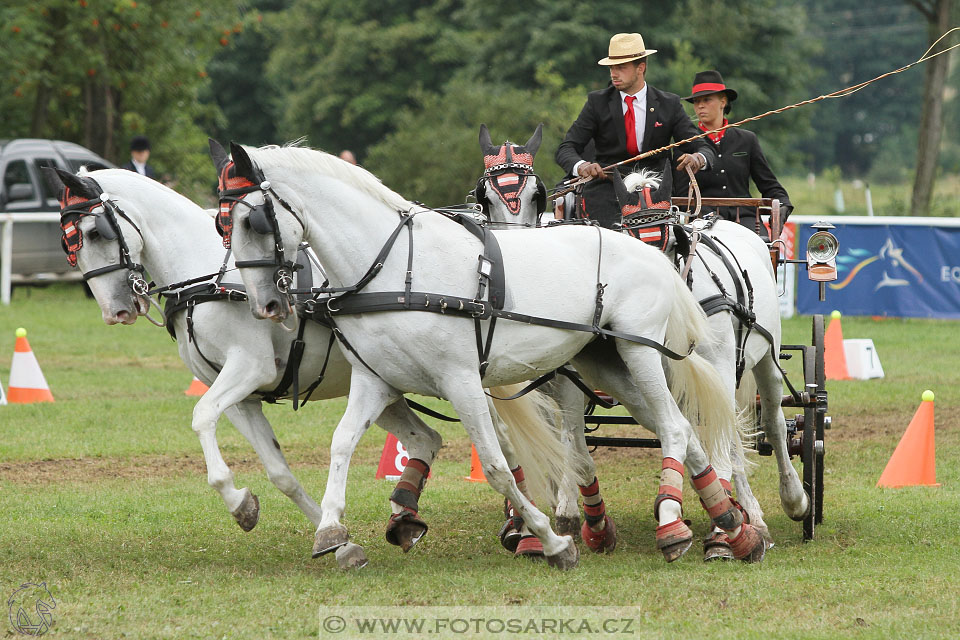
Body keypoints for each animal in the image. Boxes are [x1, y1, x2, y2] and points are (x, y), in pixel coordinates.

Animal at [45, 168, 568, 568]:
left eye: (93, 234)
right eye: (70, 244)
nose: (115, 310)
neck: (212, 279)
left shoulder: (248, 368)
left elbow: (201, 416)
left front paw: (239, 501)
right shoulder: (242, 396)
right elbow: (279, 472)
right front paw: (330, 537)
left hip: (460, 378)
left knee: (523, 436)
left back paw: (540, 524)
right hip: (393, 383)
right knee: (430, 438)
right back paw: (408, 519)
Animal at [216, 140, 764, 564]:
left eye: (253, 221)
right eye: (225, 222)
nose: (265, 305)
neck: (395, 268)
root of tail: (651, 252)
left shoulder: (461, 379)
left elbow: (498, 466)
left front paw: (550, 541)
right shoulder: (376, 379)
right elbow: (342, 443)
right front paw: (333, 532)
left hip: (640, 352)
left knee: (675, 426)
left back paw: (681, 525)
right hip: (607, 364)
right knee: (684, 430)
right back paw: (732, 527)